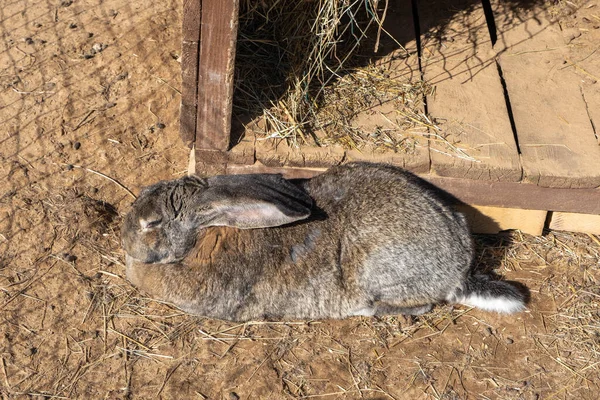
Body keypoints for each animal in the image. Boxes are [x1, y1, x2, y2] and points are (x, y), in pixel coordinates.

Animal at [120, 161, 524, 320]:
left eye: (152, 222)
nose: (126, 243)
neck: (204, 236)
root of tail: (459, 272)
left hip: (379, 270)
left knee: (418, 305)